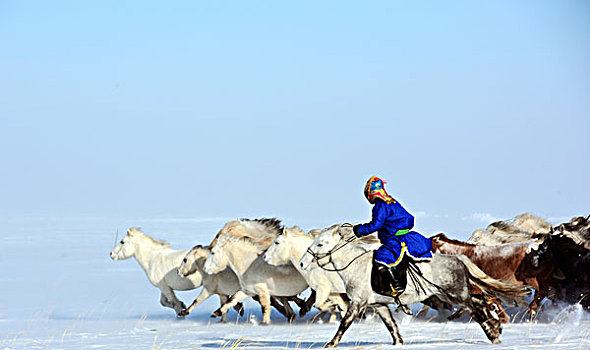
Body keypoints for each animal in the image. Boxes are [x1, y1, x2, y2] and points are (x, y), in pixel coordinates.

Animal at [300, 224, 532, 348]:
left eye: (320, 244)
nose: (302, 263)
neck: (355, 265)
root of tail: (458, 258)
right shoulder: (378, 305)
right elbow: (391, 326)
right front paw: (398, 343)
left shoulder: (357, 303)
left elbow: (344, 324)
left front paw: (330, 344)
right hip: (452, 294)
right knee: (481, 302)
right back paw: (497, 329)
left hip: (457, 295)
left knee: (477, 309)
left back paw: (493, 333)